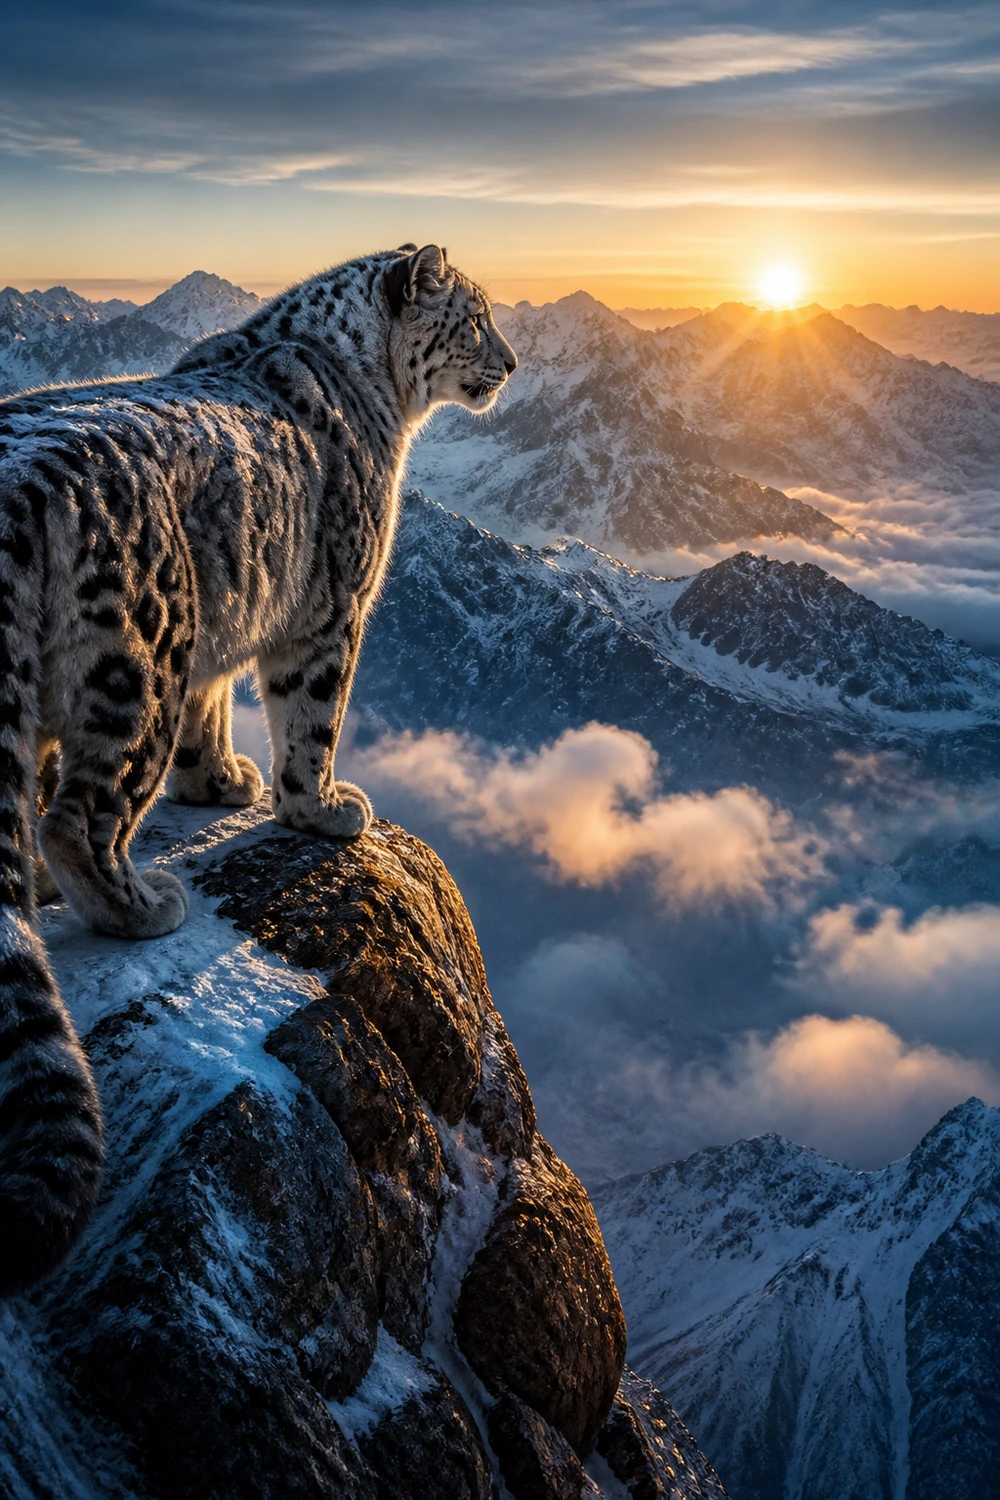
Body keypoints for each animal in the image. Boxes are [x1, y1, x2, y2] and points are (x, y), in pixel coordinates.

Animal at [0, 243, 516, 1294]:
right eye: (478, 315)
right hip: (141, 658)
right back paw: (138, 903)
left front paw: (220, 781)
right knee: (83, 810)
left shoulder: (227, 625)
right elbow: (312, 716)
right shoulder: (332, 609)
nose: (514, 362)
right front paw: (319, 806)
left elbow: (215, 704)